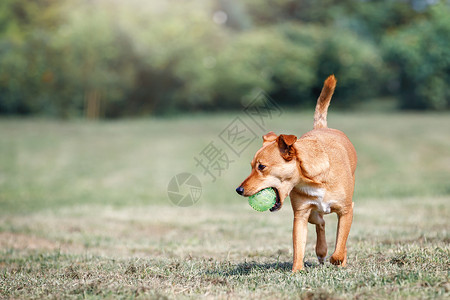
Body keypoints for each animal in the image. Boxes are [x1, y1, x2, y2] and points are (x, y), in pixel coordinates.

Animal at [237, 75, 356, 272]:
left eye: (261, 167)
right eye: (252, 166)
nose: (238, 190)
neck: (313, 178)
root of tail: (321, 127)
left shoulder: (346, 209)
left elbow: (341, 242)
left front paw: (339, 259)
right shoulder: (301, 214)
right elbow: (298, 246)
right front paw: (296, 271)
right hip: (313, 214)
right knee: (321, 222)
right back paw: (321, 251)